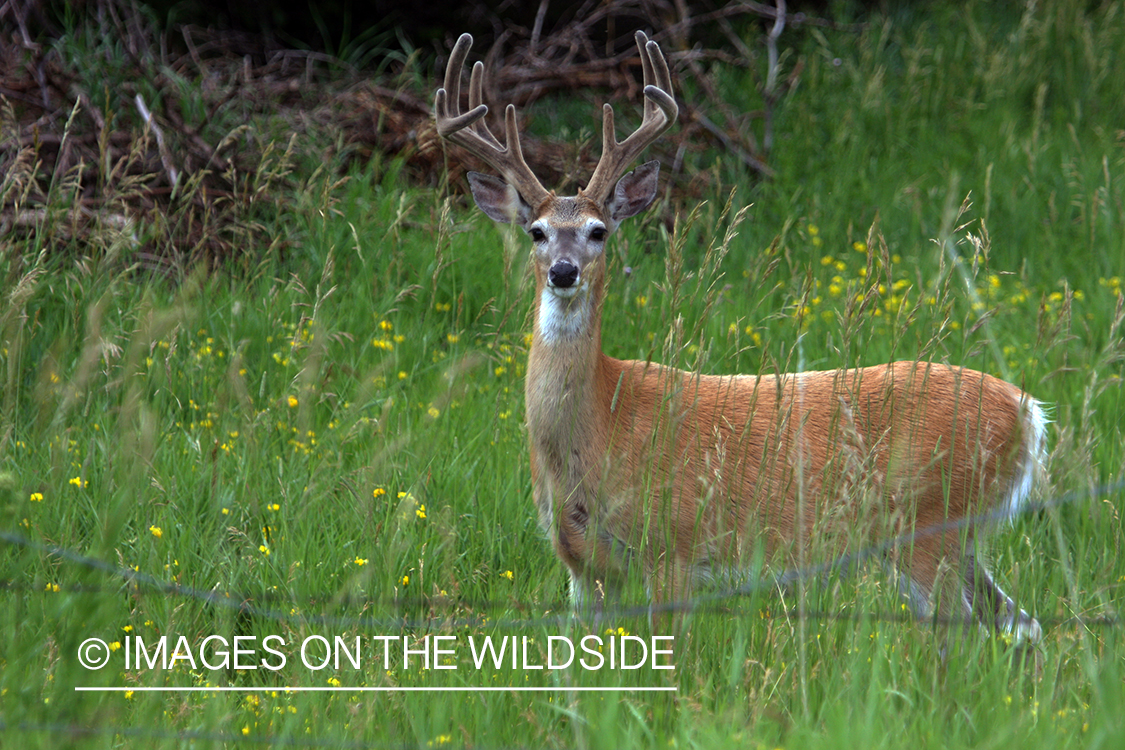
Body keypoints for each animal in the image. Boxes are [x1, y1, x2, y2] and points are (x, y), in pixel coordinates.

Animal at [436, 27, 1044, 638]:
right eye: (536, 231)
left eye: (598, 231)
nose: (564, 272)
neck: (600, 424)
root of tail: (1030, 412)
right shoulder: (583, 568)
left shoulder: (674, 546)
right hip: (957, 536)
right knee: (1020, 623)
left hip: (931, 520)